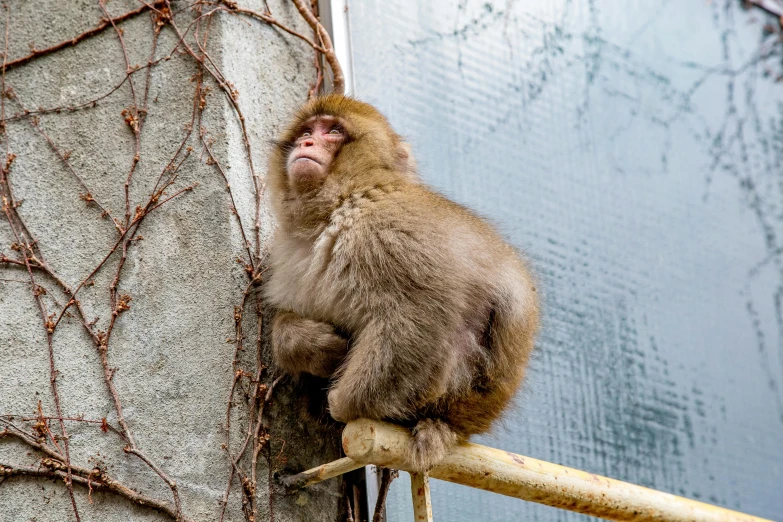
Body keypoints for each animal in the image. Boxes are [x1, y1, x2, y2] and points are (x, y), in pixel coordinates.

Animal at [266, 94, 544, 472]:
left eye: (334, 131)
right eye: (307, 131)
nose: (306, 144)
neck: (344, 200)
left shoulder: (388, 230)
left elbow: (420, 315)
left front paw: (344, 403)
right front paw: (306, 344)